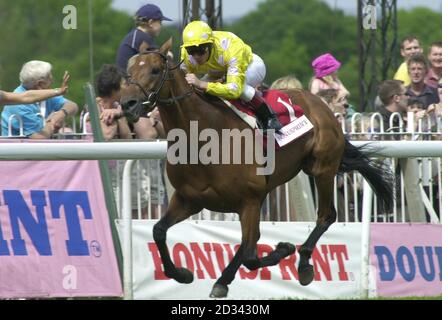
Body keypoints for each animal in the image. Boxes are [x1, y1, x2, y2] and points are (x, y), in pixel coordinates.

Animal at [119, 39, 392, 298]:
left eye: (155, 70)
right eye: (128, 72)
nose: (127, 104)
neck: (203, 138)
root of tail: (322, 105)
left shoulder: (248, 200)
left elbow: (250, 255)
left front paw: (284, 248)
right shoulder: (190, 199)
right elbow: (158, 231)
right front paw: (183, 274)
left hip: (322, 169)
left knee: (325, 216)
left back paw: (303, 263)